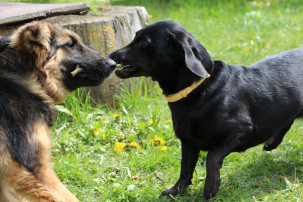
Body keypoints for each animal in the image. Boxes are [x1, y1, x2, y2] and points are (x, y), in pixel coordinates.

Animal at [110, 19, 303, 200]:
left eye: (143, 43)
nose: (111, 57)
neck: (199, 89)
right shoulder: (188, 142)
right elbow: (185, 169)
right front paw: (176, 191)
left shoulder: (241, 131)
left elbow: (212, 157)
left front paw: (211, 187)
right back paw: (272, 143)